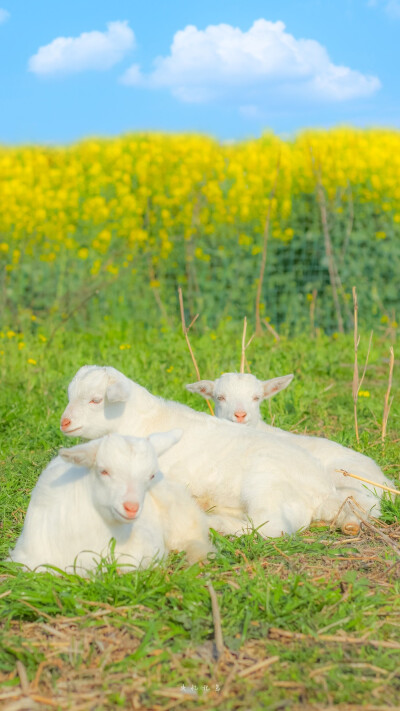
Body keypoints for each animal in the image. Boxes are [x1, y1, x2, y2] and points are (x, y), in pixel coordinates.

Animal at [188, 372, 394, 536]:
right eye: (220, 397)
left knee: (365, 507)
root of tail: (386, 482)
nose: (240, 415)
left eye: (257, 397)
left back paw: (349, 525)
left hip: (349, 482)